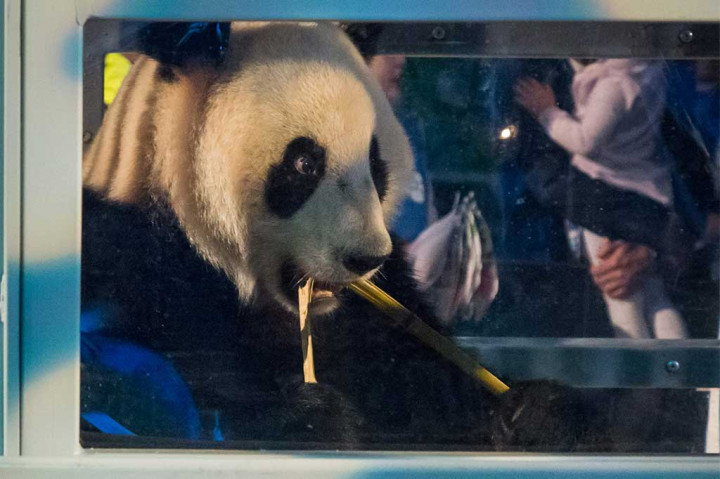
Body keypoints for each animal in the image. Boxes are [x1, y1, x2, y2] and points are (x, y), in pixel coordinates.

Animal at [81, 21, 600, 450]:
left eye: (375, 163)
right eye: (304, 162)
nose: (364, 259)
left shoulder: (384, 302)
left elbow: (430, 386)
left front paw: (540, 413)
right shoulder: (131, 258)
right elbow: (161, 382)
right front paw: (312, 419)